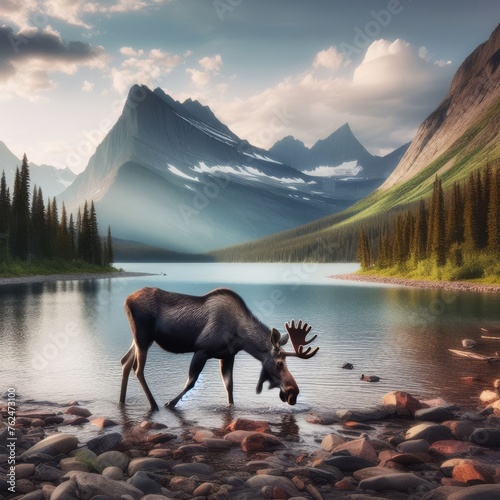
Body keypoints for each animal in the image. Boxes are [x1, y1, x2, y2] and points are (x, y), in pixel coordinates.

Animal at [119, 286, 318, 410]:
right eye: (279, 363)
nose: (294, 393)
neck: (241, 337)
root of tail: (126, 300)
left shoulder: (227, 356)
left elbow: (229, 386)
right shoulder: (202, 350)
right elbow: (191, 381)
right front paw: (170, 403)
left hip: (138, 339)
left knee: (125, 362)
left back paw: (122, 401)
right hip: (143, 337)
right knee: (137, 368)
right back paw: (154, 405)